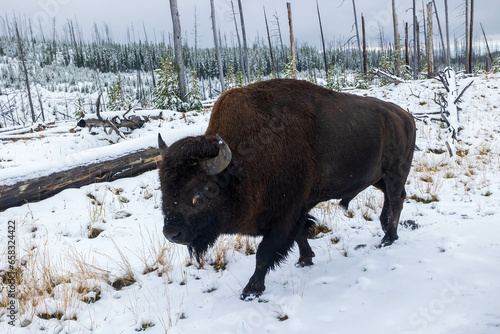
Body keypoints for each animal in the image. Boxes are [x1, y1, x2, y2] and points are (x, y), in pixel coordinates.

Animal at [158, 78, 416, 300]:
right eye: (163, 187)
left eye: (200, 193)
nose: (171, 233)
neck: (240, 166)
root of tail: (406, 115)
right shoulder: (296, 211)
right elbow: (300, 234)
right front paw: (305, 260)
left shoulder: (285, 215)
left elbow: (264, 253)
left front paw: (251, 290)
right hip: (378, 176)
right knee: (390, 197)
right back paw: (385, 227)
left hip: (396, 171)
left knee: (397, 198)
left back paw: (388, 238)